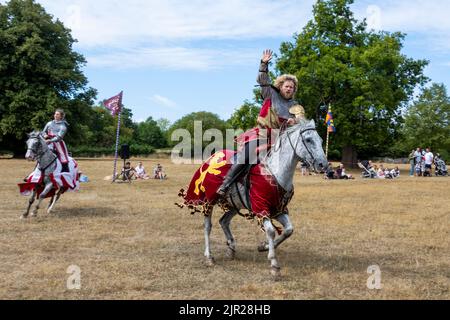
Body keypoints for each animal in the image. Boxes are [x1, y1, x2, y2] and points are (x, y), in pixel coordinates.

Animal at [200, 119, 326, 278]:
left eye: (321, 140)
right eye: (308, 140)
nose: (323, 164)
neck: (275, 171)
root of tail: (211, 158)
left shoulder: (279, 210)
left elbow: (288, 230)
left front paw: (264, 247)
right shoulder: (261, 208)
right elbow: (271, 231)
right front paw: (274, 264)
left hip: (236, 205)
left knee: (223, 221)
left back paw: (231, 248)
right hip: (209, 201)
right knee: (207, 226)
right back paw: (209, 256)